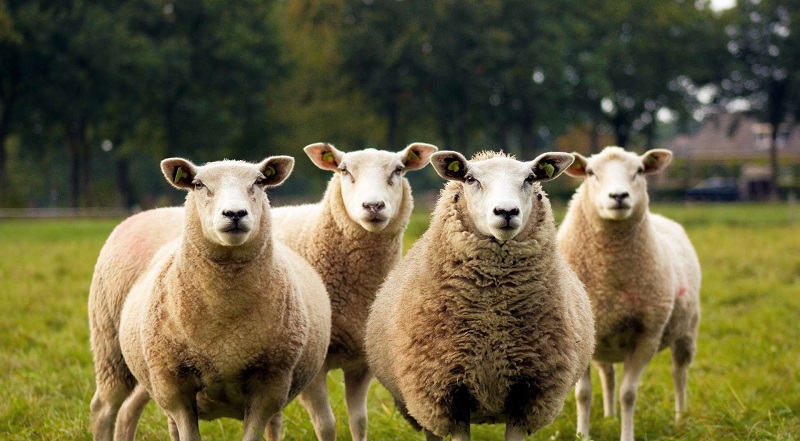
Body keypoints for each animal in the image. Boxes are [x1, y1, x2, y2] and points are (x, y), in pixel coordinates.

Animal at [91, 156, 332, 441]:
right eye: (198, 184)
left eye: (259, 182)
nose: (235, 213)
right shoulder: (173, 383)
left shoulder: (271, 382)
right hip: (111, 348)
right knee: (105, 408)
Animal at [269, 141, 438, 441]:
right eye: (344, 170)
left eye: (398, 170)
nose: (373, 205)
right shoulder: (313, 366)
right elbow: (326, 426)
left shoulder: (361, 362)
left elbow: (359, 421)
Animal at [365, 150, 595, 441]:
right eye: (470, 179)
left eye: (530, 179)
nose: (506, 211)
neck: (492, 318)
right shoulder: (447, 393)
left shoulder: (528, 393)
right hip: (421, 401)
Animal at [557, 146, 701, 441]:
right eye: (591, 172)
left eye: (639, 171)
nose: (619, 196)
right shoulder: (580, 336)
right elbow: (583, 394)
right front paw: (583, 435)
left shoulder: (647, 336)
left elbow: (628, 394)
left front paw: (626, 435)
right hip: (602, 340)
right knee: (608, 374)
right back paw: (609, 416)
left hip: (687, 331)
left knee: (679, 374)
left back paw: (680, 419)